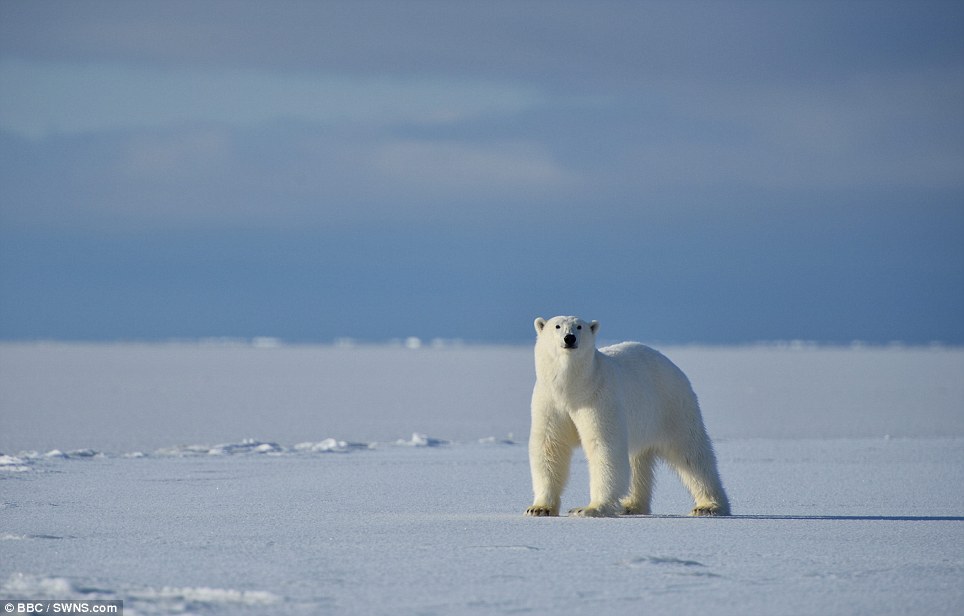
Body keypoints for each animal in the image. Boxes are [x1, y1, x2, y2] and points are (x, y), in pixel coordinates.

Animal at [528, 316, 732, 516]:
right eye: (557, 326)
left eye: (579, 327)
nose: (569, 338)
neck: (572, 389)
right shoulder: (550, 402)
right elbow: (550, 447)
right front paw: (539, 508)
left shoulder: (599, 397)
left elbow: (603, 446)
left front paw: (589, 508)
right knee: (638, 460)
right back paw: (631, 505)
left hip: (672, 406)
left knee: (691, 454)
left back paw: (709, 506)